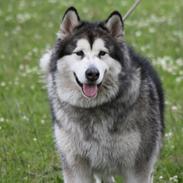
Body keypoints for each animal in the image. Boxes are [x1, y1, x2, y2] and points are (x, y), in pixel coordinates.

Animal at [39, 6, 164, 182]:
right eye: (79, 53)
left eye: (102, 53)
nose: (92, 73)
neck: (93, 108)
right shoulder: (75, 165)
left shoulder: (138, 166)